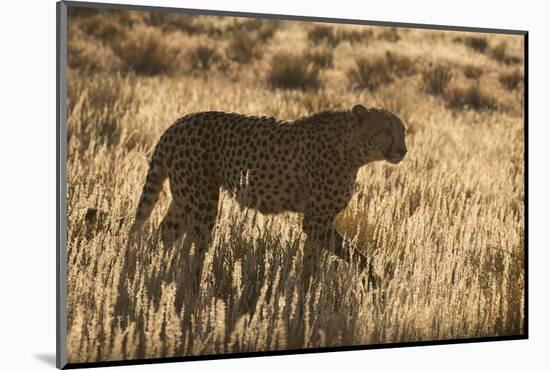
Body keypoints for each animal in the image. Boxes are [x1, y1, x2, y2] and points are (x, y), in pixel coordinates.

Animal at [133, 103, 410, 290]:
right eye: (386, 130)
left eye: (403, 131)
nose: (403, 150)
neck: (353, 150)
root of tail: (177, 123)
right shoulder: (316, 220)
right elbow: (354, 254)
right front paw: (377, 282)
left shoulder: (320, 221)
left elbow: (313, 260)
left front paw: (306, 292)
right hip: (203, 202)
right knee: (193, 249)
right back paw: (192, 289)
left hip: (183, 198)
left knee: (163, 236)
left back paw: (152, 270)